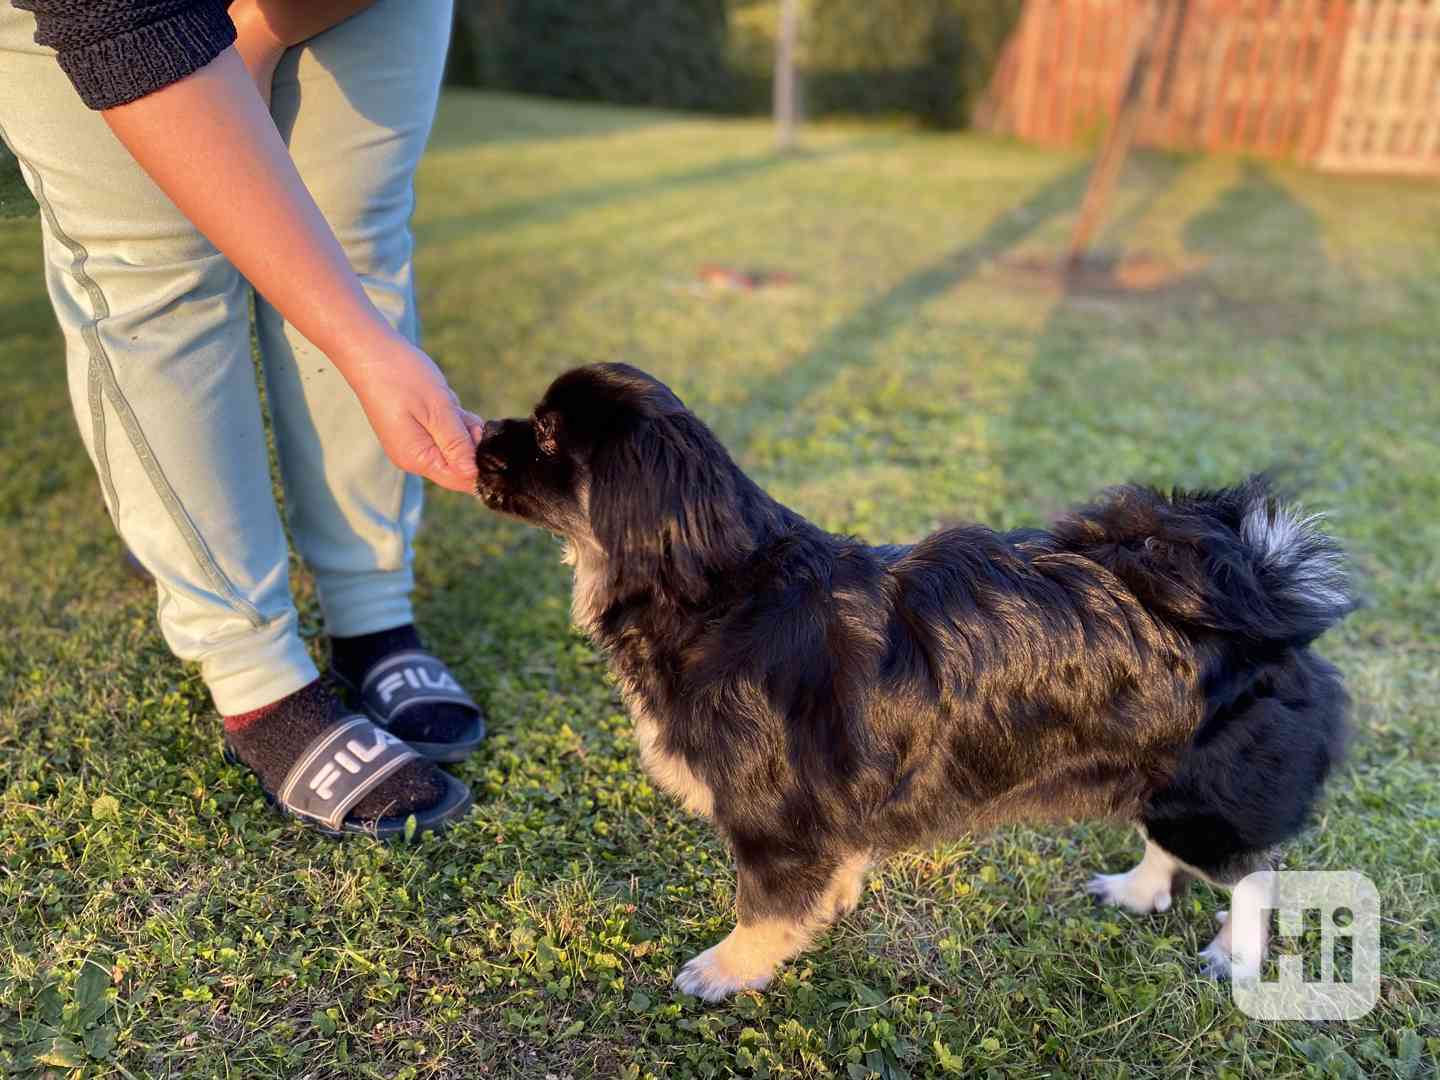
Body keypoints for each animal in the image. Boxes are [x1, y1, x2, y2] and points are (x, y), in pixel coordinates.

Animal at [472, 365, 1347, 1008]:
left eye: (546, 435)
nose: (480, 433)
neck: (721, 591)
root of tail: (1264, 590)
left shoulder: (771, 816)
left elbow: (761, 903)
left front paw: (729, 969)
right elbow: (831, 866)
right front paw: (830, 905)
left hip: (1205, 793)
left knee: (1255, 875)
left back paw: (1234, 956)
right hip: (1167, 784)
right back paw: (1138, 892)